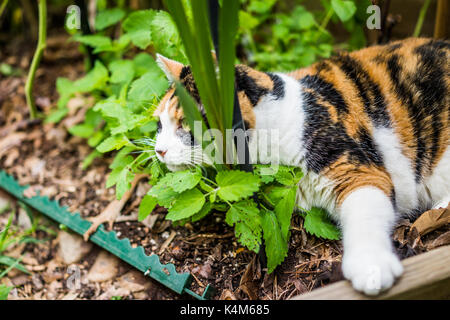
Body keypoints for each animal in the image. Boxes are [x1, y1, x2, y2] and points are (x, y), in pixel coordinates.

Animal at [153, 38, 448, 296]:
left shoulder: (359, 169)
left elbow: (365, 215)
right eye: (159, 124)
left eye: (185, 125)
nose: (159, 150)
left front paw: (371, 267)